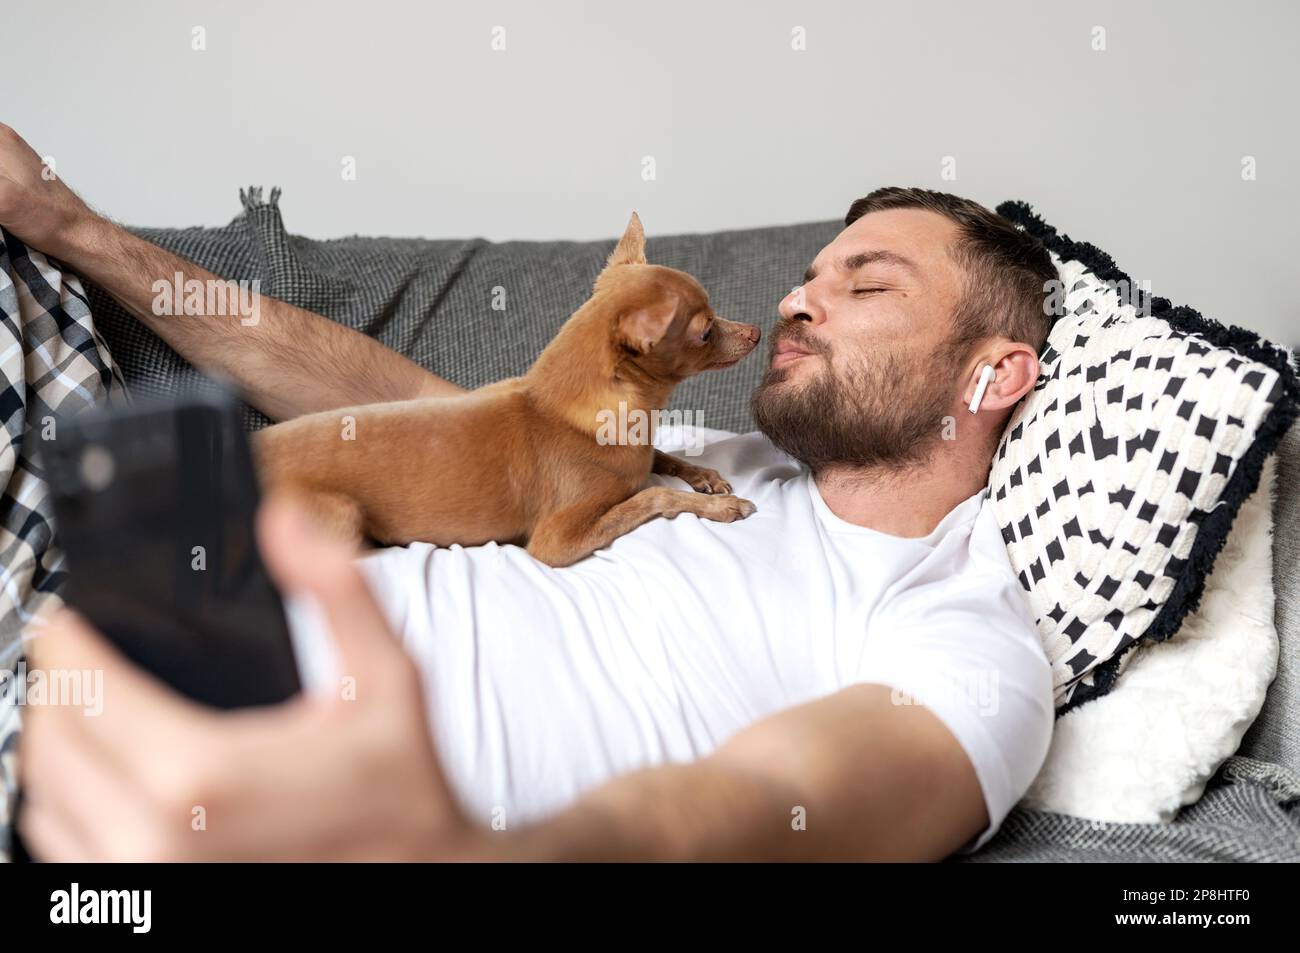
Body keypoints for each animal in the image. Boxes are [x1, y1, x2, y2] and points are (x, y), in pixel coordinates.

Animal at [252, 213, 759, 564]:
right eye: (706, 331)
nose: (756, 331)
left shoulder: (640, 451)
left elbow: (660, 457)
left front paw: (705, 477)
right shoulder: (555, 542)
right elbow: (652, 496)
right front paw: (721, 506)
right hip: (339, 516)